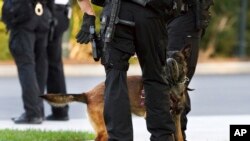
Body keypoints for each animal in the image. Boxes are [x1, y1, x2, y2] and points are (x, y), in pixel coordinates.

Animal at [41, 45, 191, 141]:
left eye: (178, 57)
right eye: (165, 57)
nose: (169, 62)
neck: (173, 86)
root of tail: (88, 94)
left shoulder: (176, 118)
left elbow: (179, 137)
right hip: (104, 130)